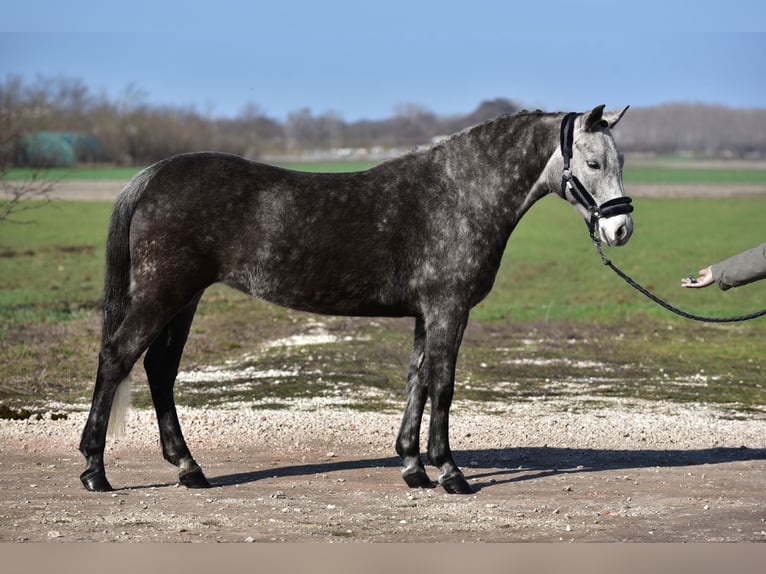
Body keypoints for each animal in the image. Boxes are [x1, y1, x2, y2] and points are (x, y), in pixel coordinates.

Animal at [79, 105, 633, 495]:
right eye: (592, 161)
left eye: (621, 160)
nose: (621, 228)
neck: (457, 194)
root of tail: (153, 175)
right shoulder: (448, 309)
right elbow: (443, 386)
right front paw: (451, 473)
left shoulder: (426, 313)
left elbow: (417, 381)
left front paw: (413, 467)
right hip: (163, 294)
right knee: (117, 357)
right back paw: (95, 470)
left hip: (184, 299)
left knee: (160, 369)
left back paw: (188, 467)